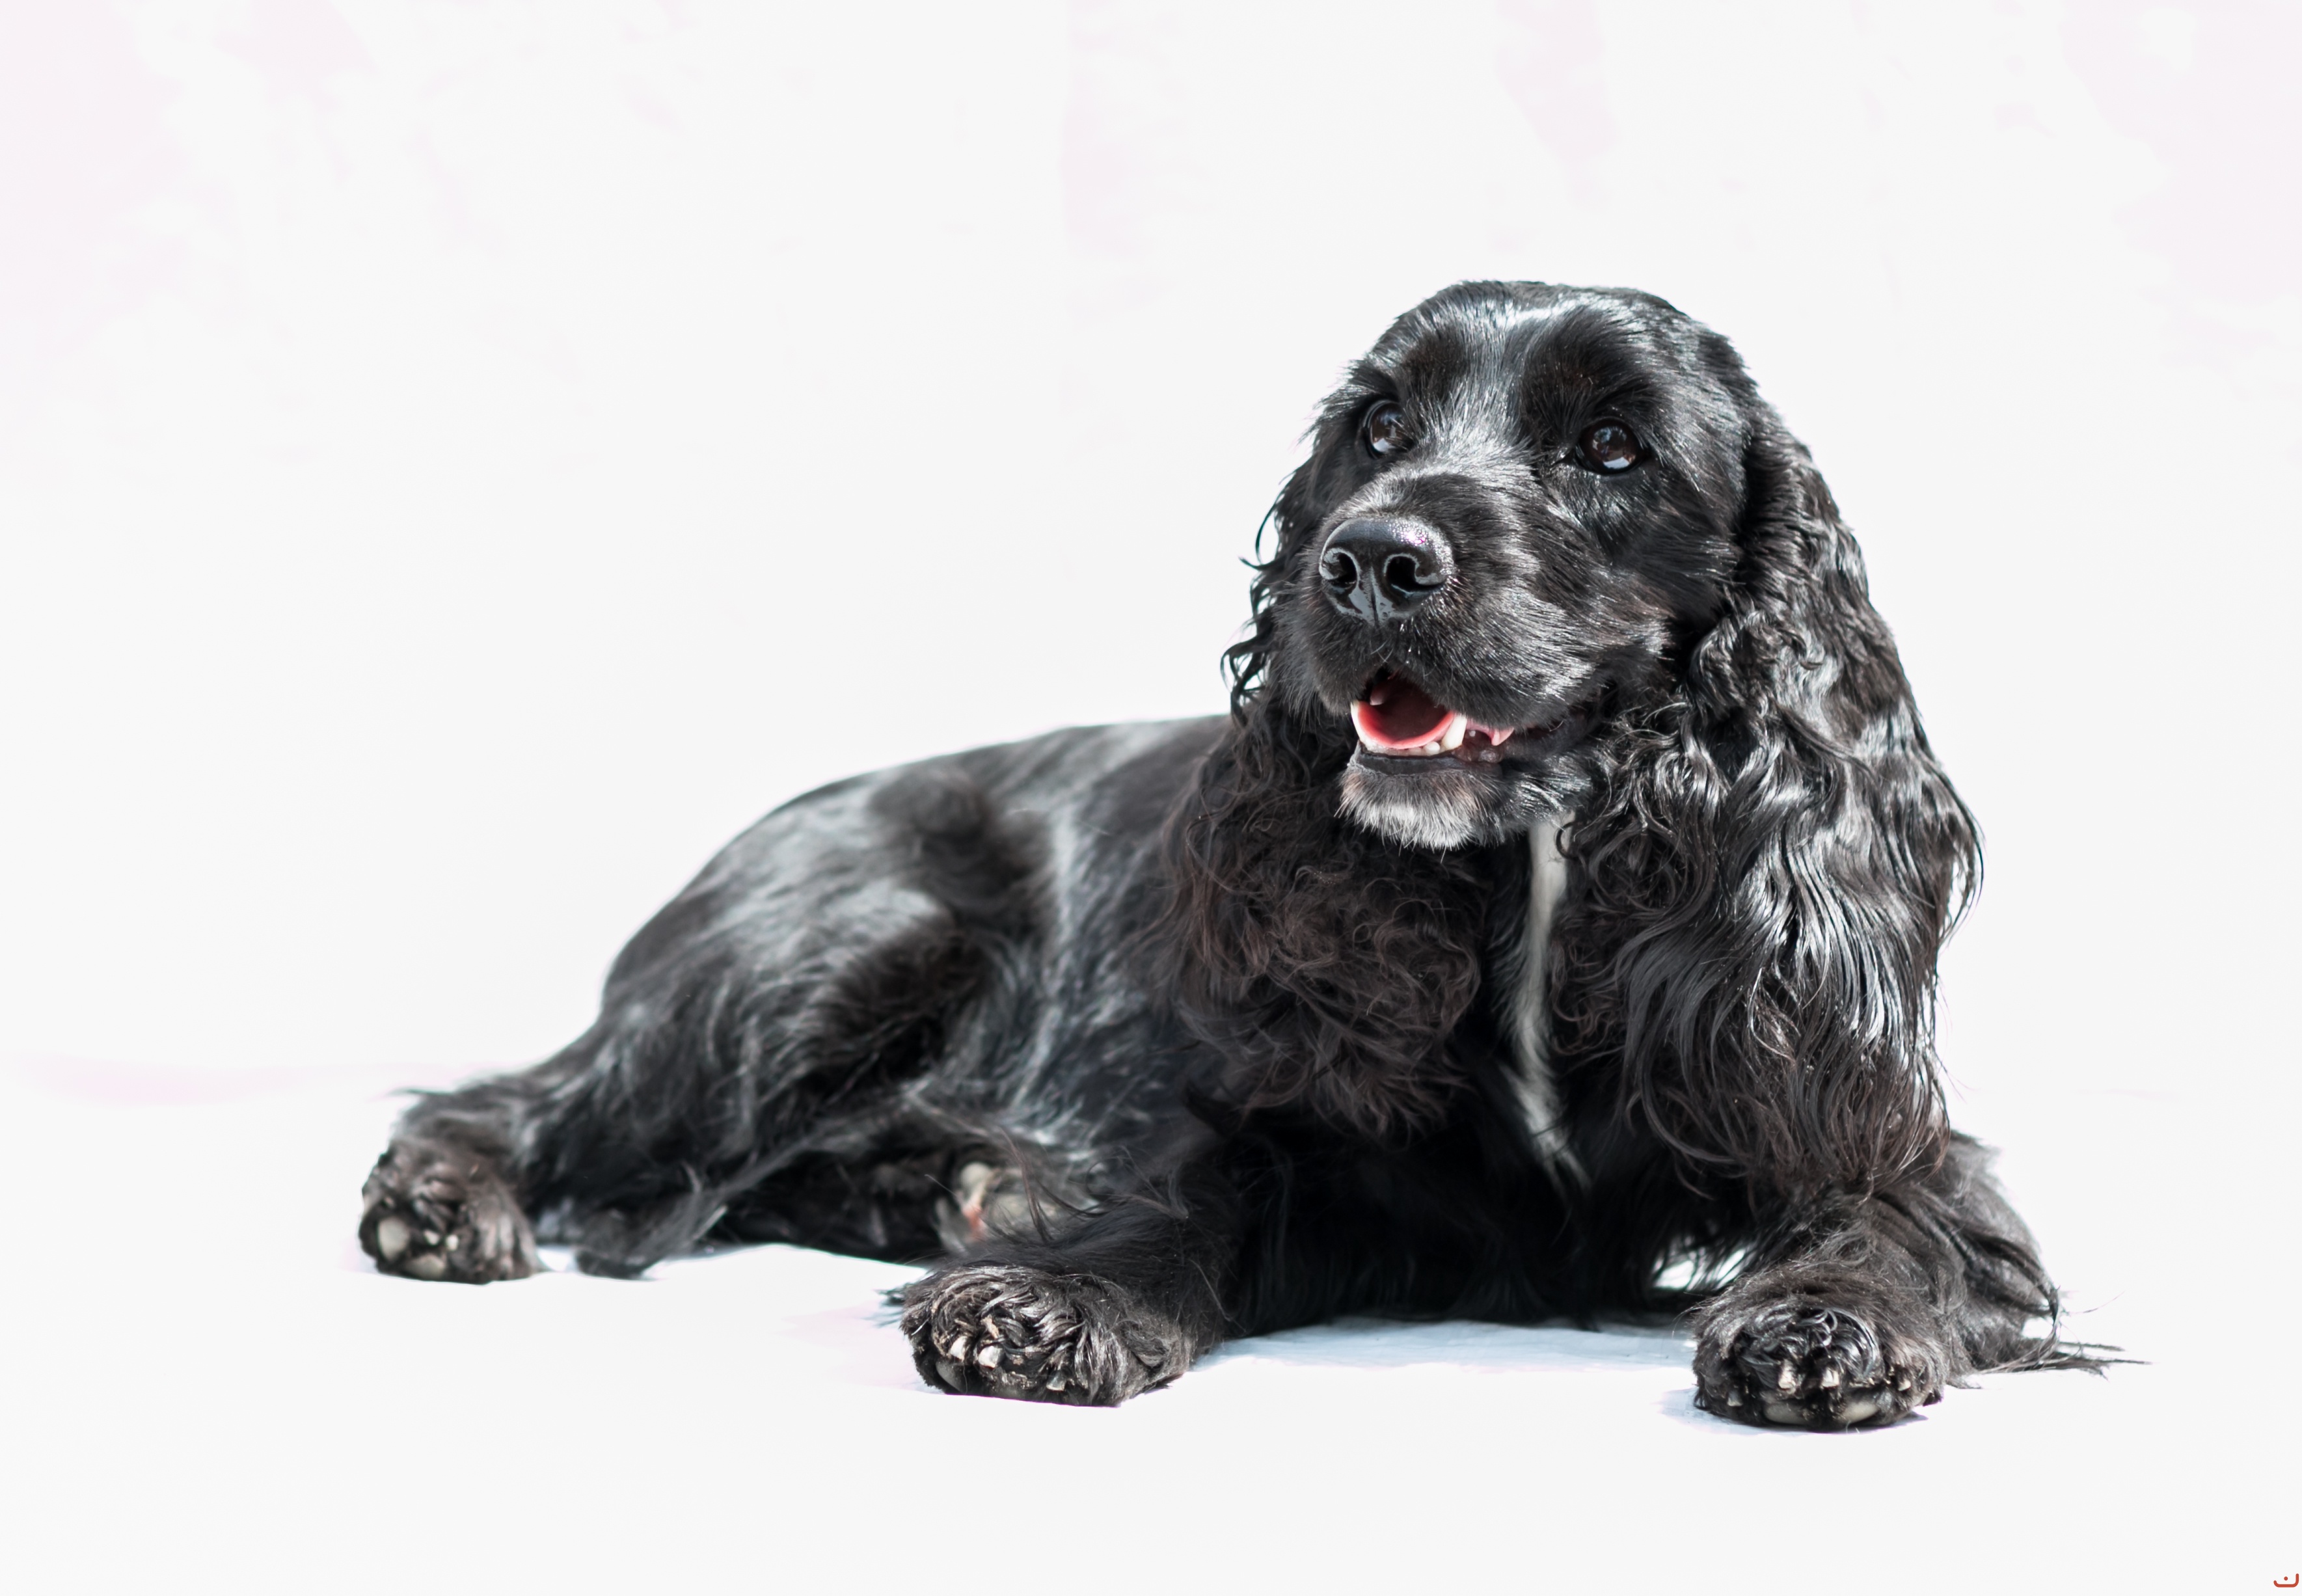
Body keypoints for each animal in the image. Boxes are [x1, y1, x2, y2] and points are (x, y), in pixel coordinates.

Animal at [359, 281, 2077, 1426]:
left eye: (1610, 446)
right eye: (1374, 426)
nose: (1369, 558)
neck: (1535, 883)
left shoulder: (1848, 1103)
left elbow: (1897, 1216)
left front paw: (1828, 1321)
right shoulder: (1309, 1134)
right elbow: (1192, 1197)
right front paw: (1048, 1297)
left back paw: (960, 1185)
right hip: (847, 942)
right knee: (529, 1094)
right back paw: (444, 1202)